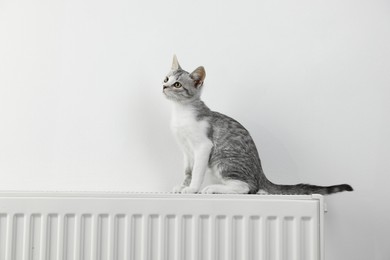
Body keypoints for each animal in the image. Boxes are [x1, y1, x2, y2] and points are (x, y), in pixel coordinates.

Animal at [161, 55, 354, 195]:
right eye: (166, 78)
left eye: (177, 84)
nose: (164, 86)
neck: (181, 112)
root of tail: (261, 174)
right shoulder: (186, 150)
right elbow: (188, 170)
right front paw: (182, 186)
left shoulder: (203, 145)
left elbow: (197, 171)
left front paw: (192, 189)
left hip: (223, 160)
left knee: (247, 187)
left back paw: (214, 188)